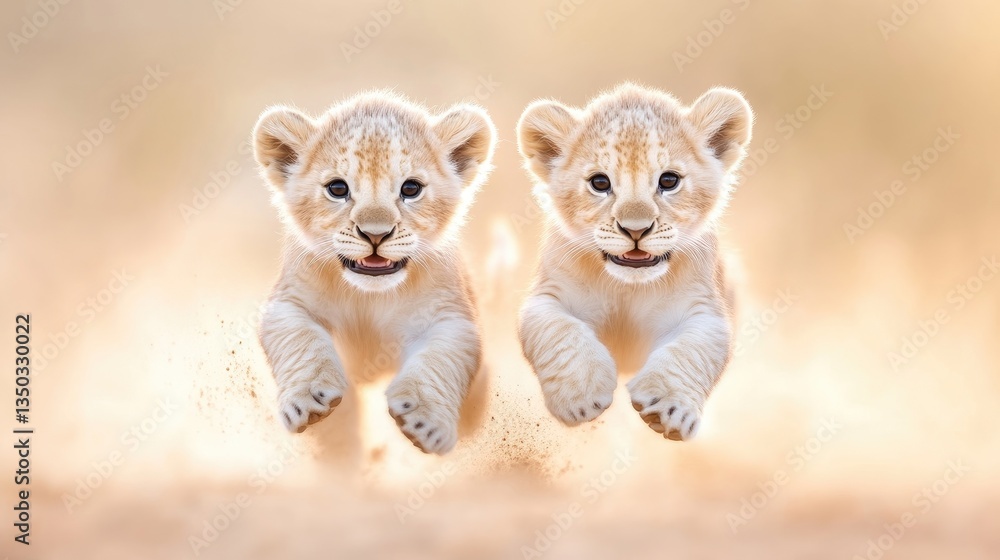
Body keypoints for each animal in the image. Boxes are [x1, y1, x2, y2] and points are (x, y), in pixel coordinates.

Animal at [253, 92, 496, 454]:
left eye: (411, 189)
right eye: (338, 189)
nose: (375, 235)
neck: (368, 295)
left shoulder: (452, 318)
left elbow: (439, 361)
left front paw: (423, 419)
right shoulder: (288, 303)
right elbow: (302, 341)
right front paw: (310, 398)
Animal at [515, 83, 753, 441]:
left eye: (669, 181)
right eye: (600, 183)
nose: (636, 230)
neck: (628, 287)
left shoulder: (704, 310)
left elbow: (690, 352)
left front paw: (667, 408)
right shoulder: (548, 297)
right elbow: (561, 333)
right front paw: (581, 397)